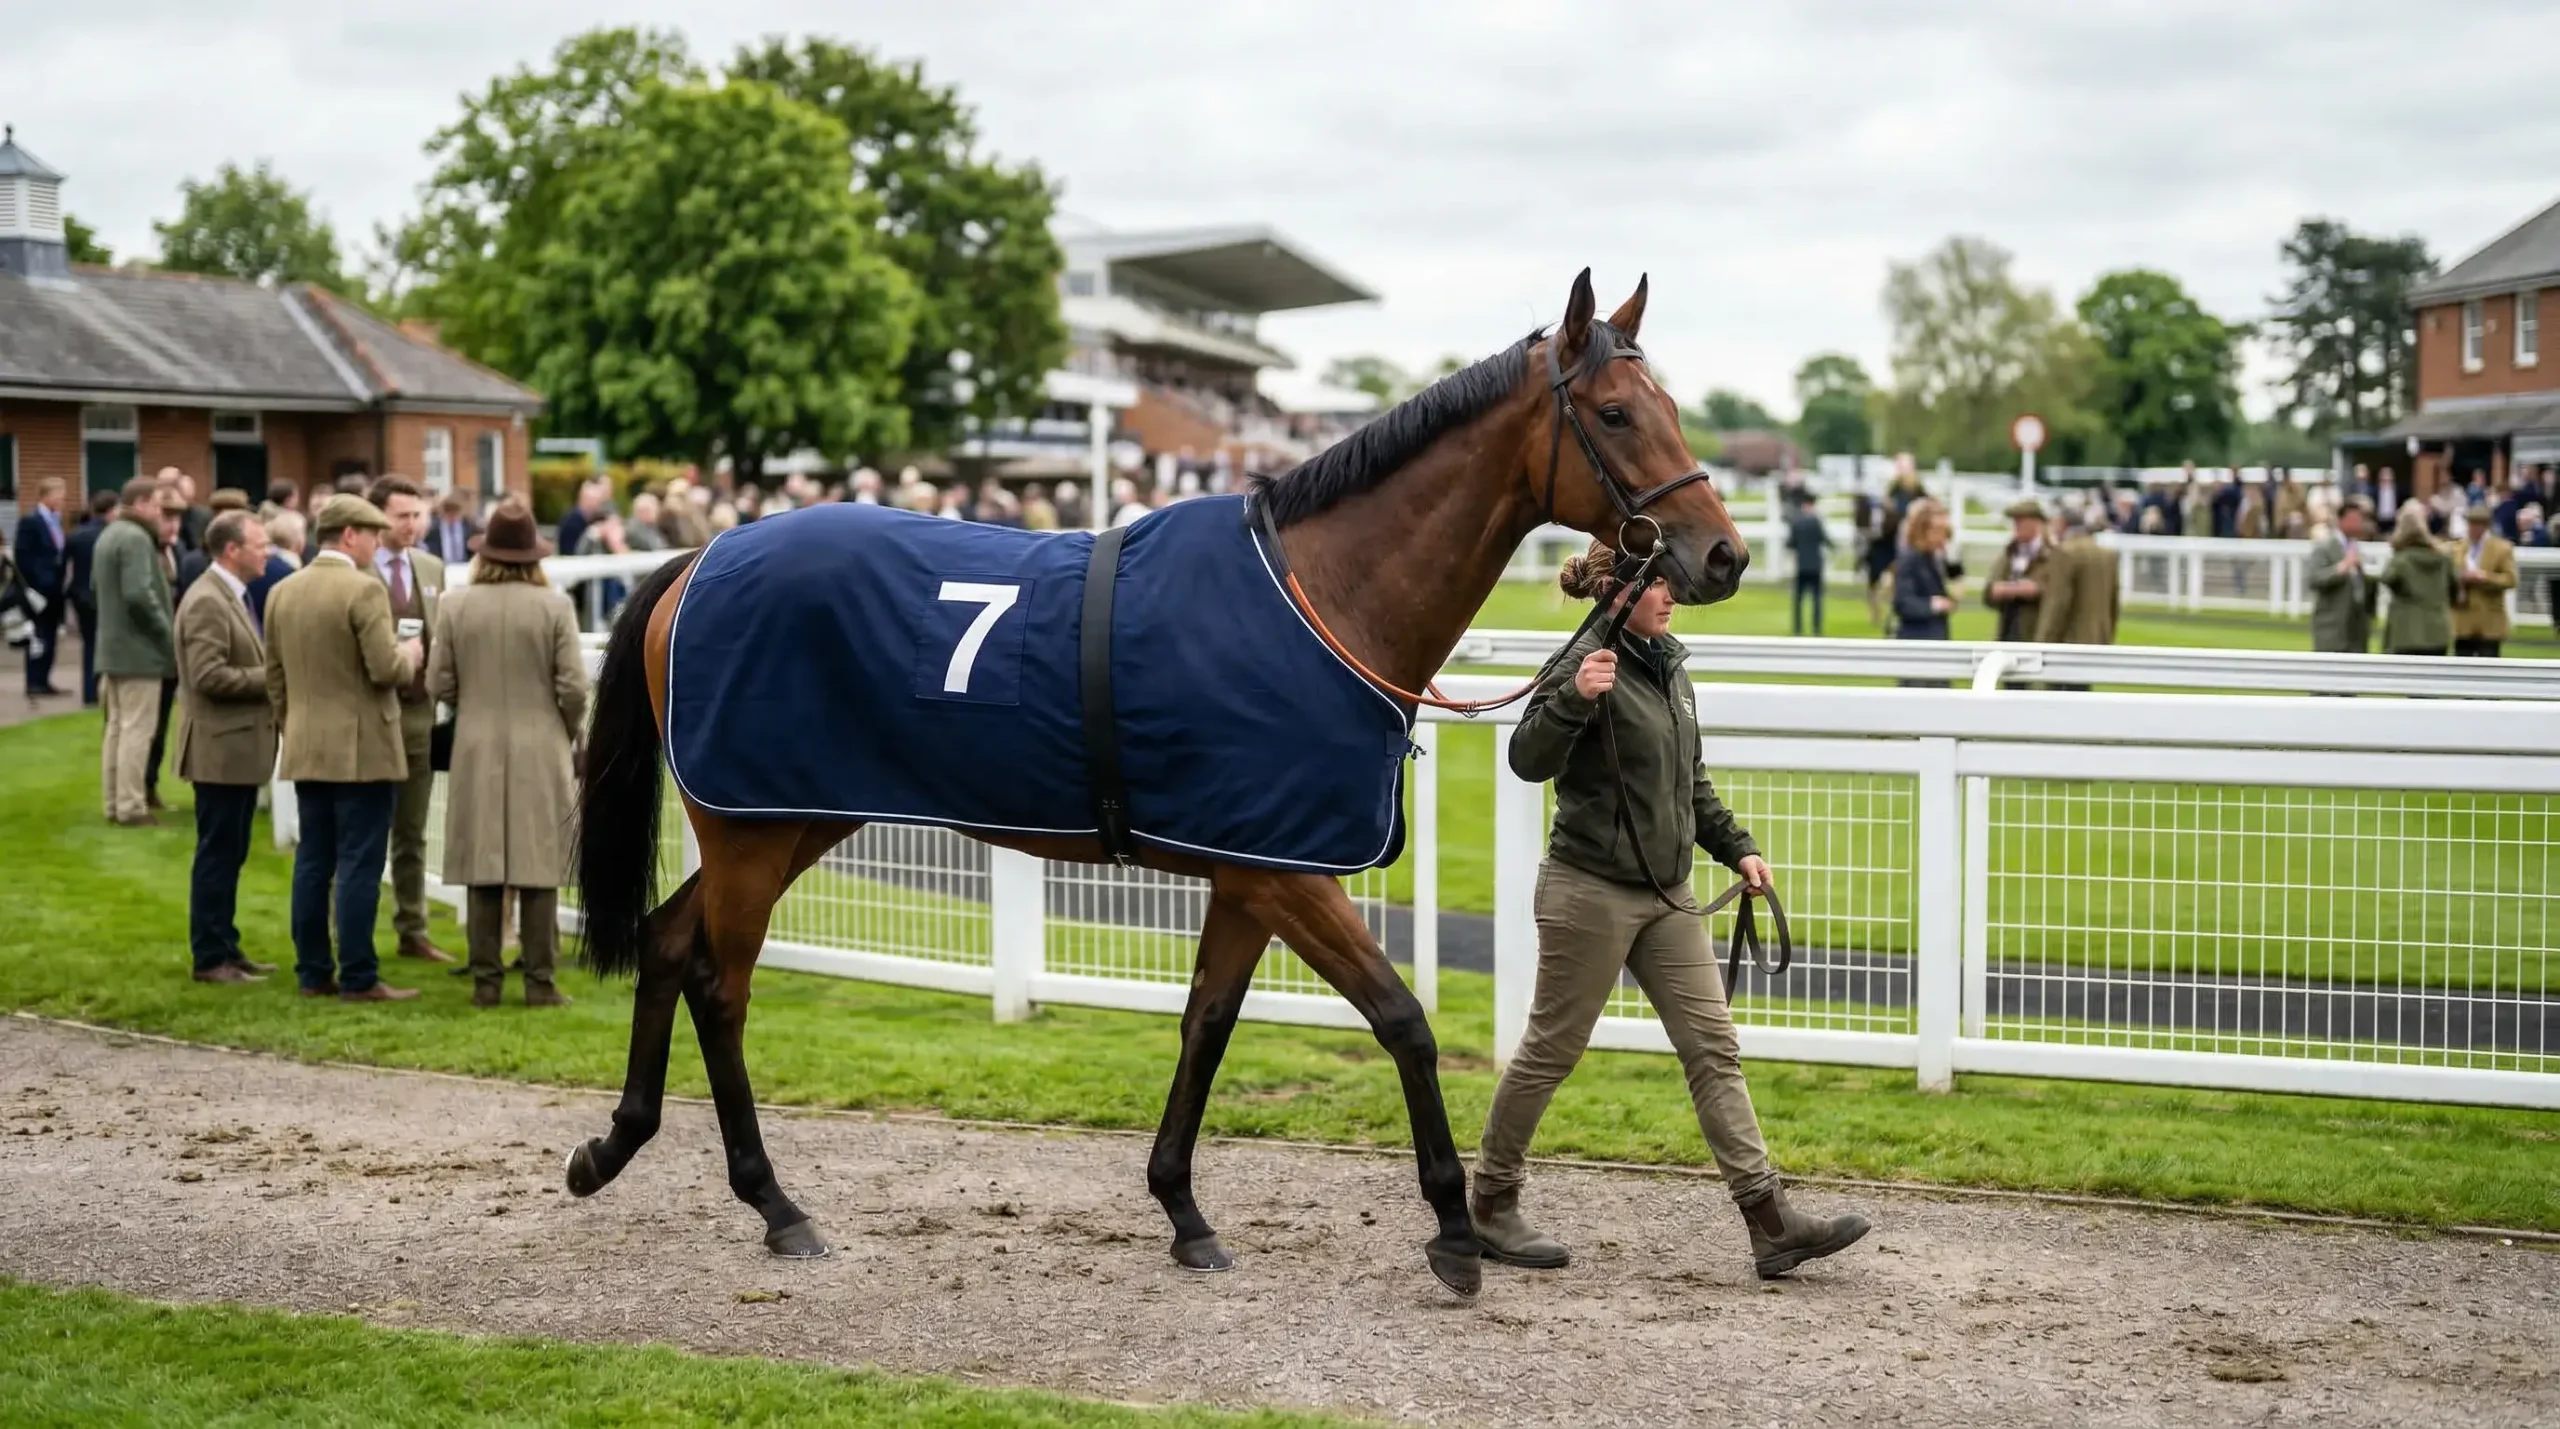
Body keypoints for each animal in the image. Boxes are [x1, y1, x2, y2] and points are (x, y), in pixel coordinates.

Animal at [563, 269, 1749, 1297]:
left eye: (1669, 405)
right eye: (1613, 412)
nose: (1723, 556)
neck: (1319, 596)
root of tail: (698, 558)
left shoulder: (1250, 868)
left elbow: (1206, 1023)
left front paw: (1183, 1210)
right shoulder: (1289, 872)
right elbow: (1402, 1018)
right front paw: (1456, 1231)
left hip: (794, 810)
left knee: (669, 941)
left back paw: (614, 1145)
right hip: (754, 827)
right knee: (718, 980)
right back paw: (775, 1202)